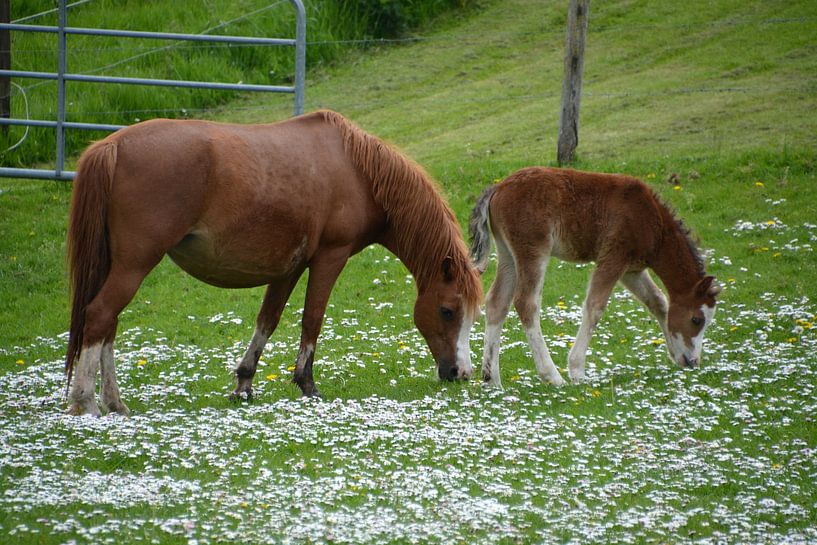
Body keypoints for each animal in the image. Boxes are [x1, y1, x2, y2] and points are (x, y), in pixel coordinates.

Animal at [65, 110, 482, 416]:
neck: (357, 171)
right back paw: (88, 403)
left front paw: (244, 384)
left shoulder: (290, 267)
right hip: (134, 265)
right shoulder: (330, 257)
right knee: (100, 316)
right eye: (447, 311)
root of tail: (113, 145)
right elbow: (312, 319)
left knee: (108, 325)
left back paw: (115, 403)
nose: (459, 373)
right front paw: (307, 384)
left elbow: (268, 320)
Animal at [469, 167, 720, 387]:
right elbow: (595, 306)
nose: (692, 361)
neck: (652, 220)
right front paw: (577, 370)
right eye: (697, 320)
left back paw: (492, 379)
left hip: (507, 254)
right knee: (526, 303)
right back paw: (552, 376)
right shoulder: (614, 257)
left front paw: (675, 353)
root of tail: (498, 187)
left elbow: (658, 301)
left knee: (497, 302)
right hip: (533, 250)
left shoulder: (632, 270)